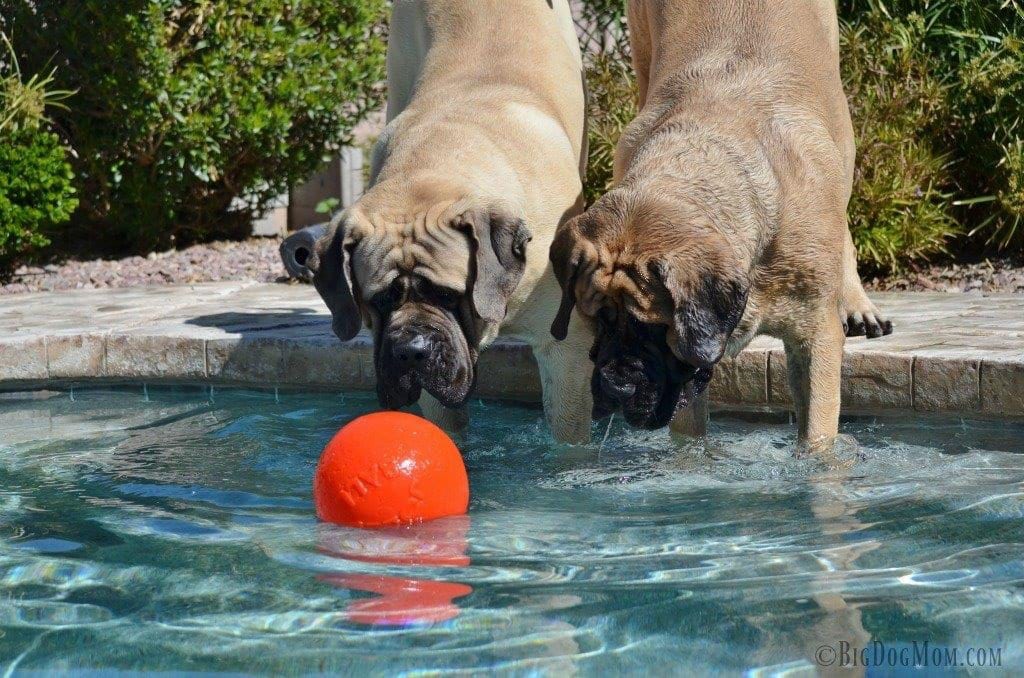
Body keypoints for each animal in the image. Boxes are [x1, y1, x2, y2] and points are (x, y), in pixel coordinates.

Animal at [280, 0, 593, 444]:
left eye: (448, 295)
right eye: (379, 301)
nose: (412, 351)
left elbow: (568, 438)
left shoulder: (564, 350)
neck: (432, 167)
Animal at [548, 0, 892, 450]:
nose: (614, 387)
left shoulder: (815, 335)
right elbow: (689, 431)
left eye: (652, 331)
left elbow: (816, 433)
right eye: (598, 320)